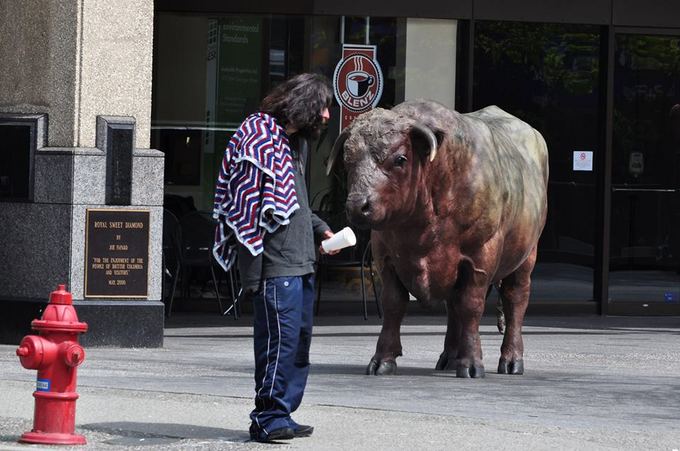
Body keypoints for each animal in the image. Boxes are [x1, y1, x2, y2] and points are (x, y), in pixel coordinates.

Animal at [326, 99, 548, 378]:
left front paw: (472, 363)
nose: (358, 206)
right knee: (453, 307)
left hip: (527, 256)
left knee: (515, 300)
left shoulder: (480, 257)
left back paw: (511, 359)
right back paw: (450, 357)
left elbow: (471, 306)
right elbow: (393, 305)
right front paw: (383, 359)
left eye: (400, 158)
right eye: (348, 159)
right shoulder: (385, 257)